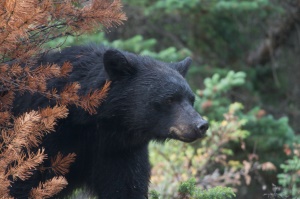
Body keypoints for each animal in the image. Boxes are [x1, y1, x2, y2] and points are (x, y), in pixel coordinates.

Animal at [11, 45, 209, 199]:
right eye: (169, 99)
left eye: (191, 99)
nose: (201, 125)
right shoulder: (41, 137)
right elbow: (23, 182)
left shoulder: (118, 152)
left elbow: (126, 186)